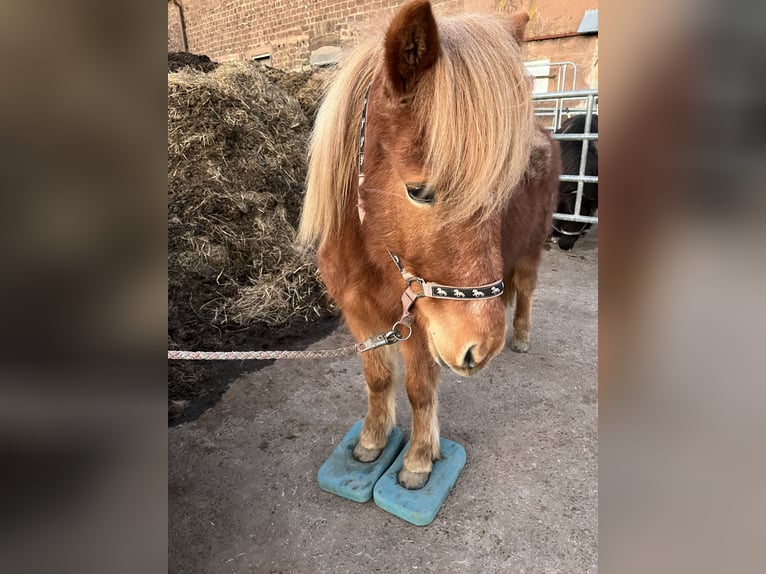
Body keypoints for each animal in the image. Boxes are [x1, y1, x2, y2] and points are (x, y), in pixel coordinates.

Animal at [298, 1, 559, 490]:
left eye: (503, 188)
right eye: (419, 191)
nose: (480, 347)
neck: (374, 256)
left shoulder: (419, 326)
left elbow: (419, 389)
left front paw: (418, 460)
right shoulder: (361, 316)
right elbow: (378, 378)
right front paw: (371, 442)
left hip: (533, 248)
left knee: (527, 290)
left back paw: (519, 336)